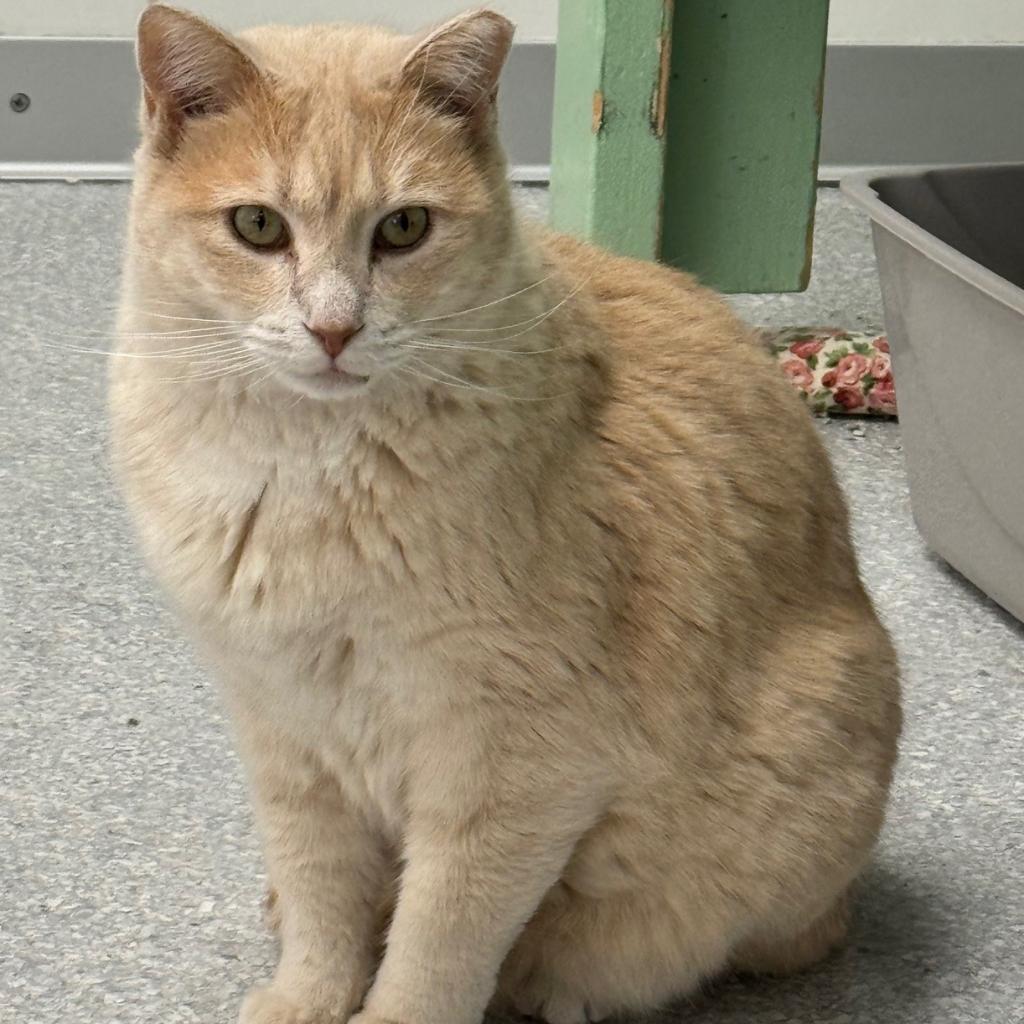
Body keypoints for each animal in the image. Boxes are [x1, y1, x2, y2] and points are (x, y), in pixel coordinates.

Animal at [110, 4, 897, 1019]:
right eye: (257, 226)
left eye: (404, 228)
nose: (334, 329)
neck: (306, 477)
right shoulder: (283, 733)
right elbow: (323, 897)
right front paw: (307, 993)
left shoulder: (510, 778)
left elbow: (437, 943)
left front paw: (392, 1005)